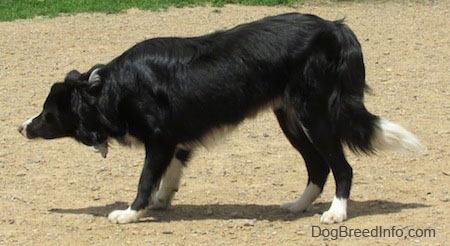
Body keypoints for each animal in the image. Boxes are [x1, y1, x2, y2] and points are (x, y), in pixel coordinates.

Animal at [18, 13, 422, 225]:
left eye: (48, 114)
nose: (22, 127)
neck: (109, 87)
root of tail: (334, 27)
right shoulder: (175, 140)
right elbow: (169, 174)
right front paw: (162, 200)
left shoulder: (159, 139)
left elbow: (145, 178)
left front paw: (131, 212)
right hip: (291, 118)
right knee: (318, 166)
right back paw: (298, 206)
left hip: (315, 115)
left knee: (341, 167)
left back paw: (336, 213)